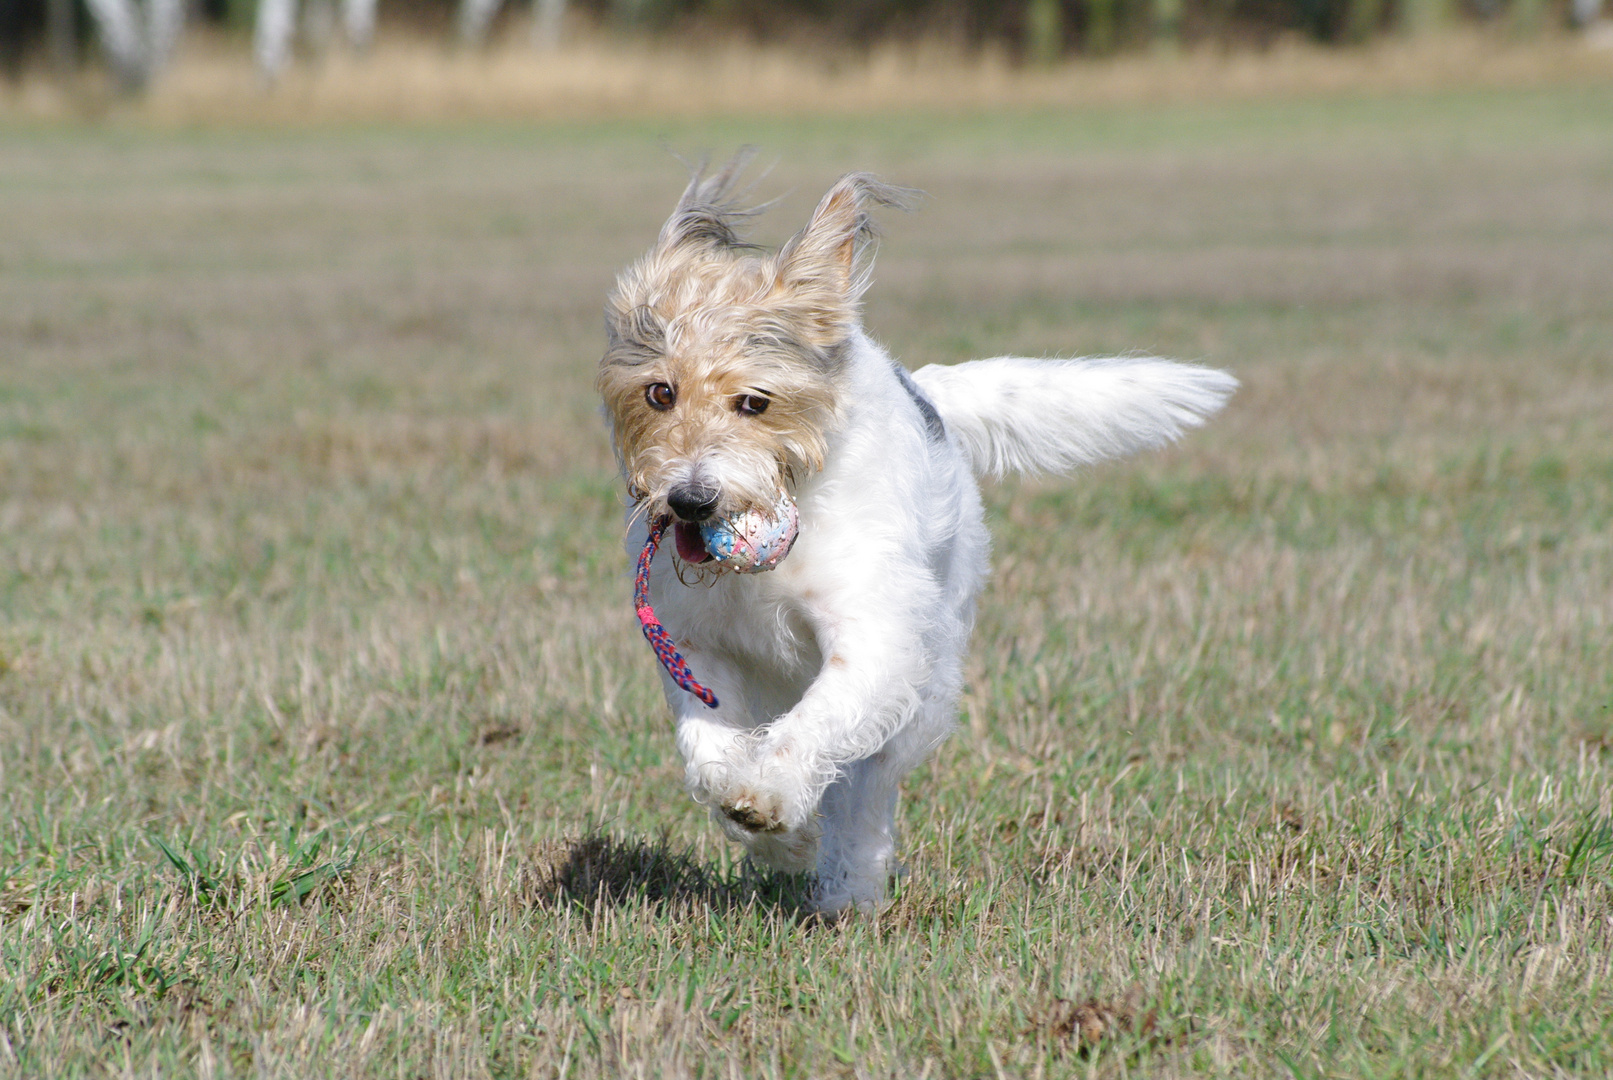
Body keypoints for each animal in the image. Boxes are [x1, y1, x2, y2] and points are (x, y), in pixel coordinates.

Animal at [593, 156, 1232, 915]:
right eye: (659, 393)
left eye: (755, 401)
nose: (690, 500)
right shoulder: (693, 641)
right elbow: (707, 745)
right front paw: (767, 828)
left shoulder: (875, 636)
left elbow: (819, 725)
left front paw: (770, 801)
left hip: (927, 677)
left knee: (865, 786)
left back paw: (850, 889)